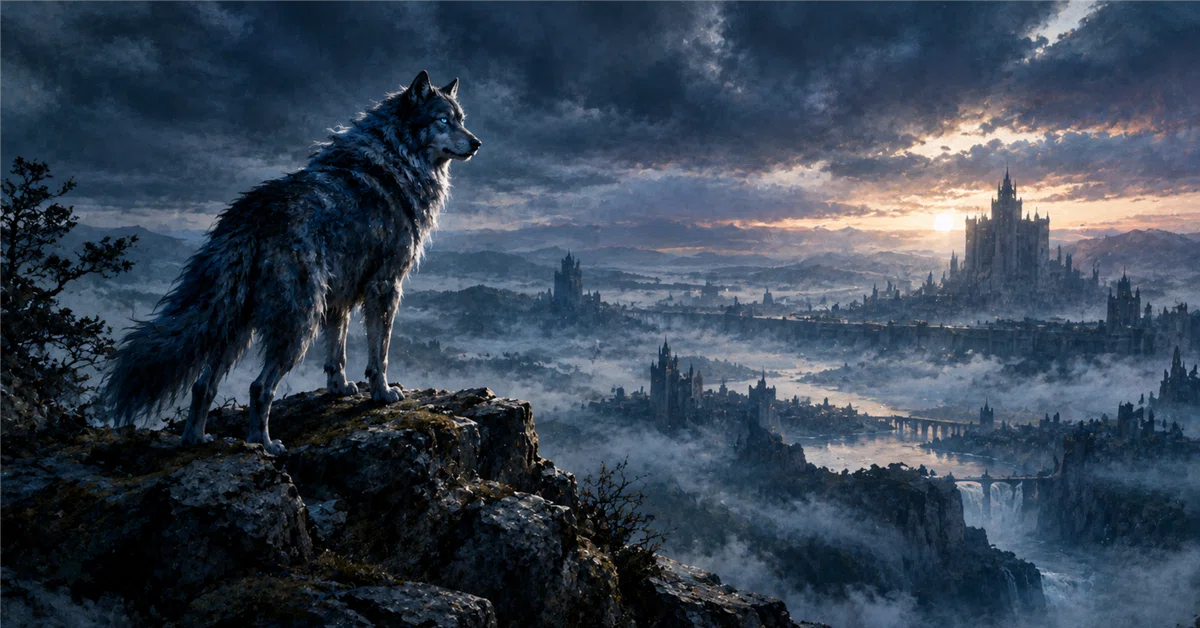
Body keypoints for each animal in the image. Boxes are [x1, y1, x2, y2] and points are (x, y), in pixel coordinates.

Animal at [100, 71, 480, 455]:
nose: (477, 143)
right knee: (259, 387)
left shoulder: (339, 296)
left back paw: (196, 439)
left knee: (203, 385)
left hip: (238, 329)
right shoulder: (385, 286)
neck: (398, 157)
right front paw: (383, 393)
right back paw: (264, 444)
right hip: (297, 324)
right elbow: (380, 354)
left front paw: (339, 389)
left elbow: (337, 353)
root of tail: (249, 216)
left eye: (462, 119)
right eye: (443, 120)